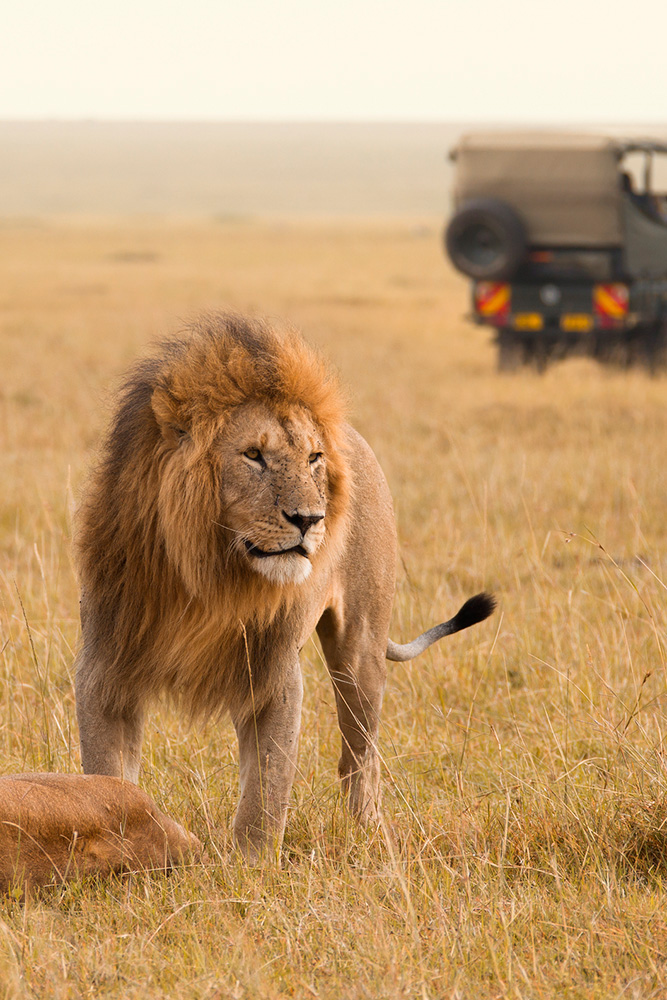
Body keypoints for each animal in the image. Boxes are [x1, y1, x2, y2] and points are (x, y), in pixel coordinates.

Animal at [74, 314, 496, 860]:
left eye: (313, 458)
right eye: (253, 455)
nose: (309, 519)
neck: (207, 577)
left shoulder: (273, 673)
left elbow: (267, 789)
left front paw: (250, 866)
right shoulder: (106, 667)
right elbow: (107, 776)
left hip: (360, 652)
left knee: (359, 757)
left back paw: (369, 835)